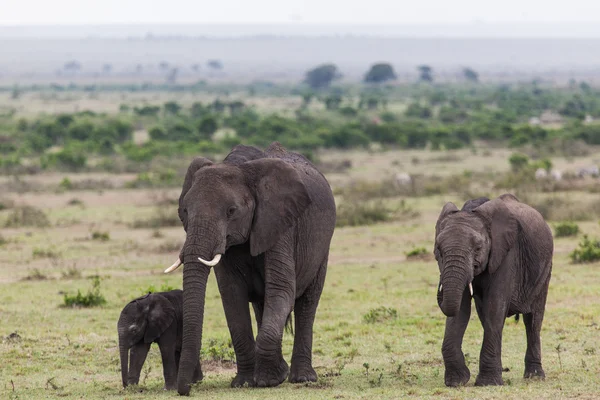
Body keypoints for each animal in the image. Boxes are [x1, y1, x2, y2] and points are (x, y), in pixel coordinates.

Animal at [165, 142, 338, 396]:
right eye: (184, 211)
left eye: (231, 211)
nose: (186, 389)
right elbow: (232, 297)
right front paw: (246, 382)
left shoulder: (280, 224)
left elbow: (281, 289)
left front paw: (269, 379)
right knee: (262, 306)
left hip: (321, 248)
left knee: (307, 303)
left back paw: (302, 378)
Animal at [432, 194, 552, 388]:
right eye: (439, 250)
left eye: (478, 248)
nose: (439, 287)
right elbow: (460, 310)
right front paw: (457, 381)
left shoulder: (506, 254)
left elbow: (495, 306)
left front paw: (488, 383)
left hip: (544, 269)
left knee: (533, 319)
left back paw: (534, 377)